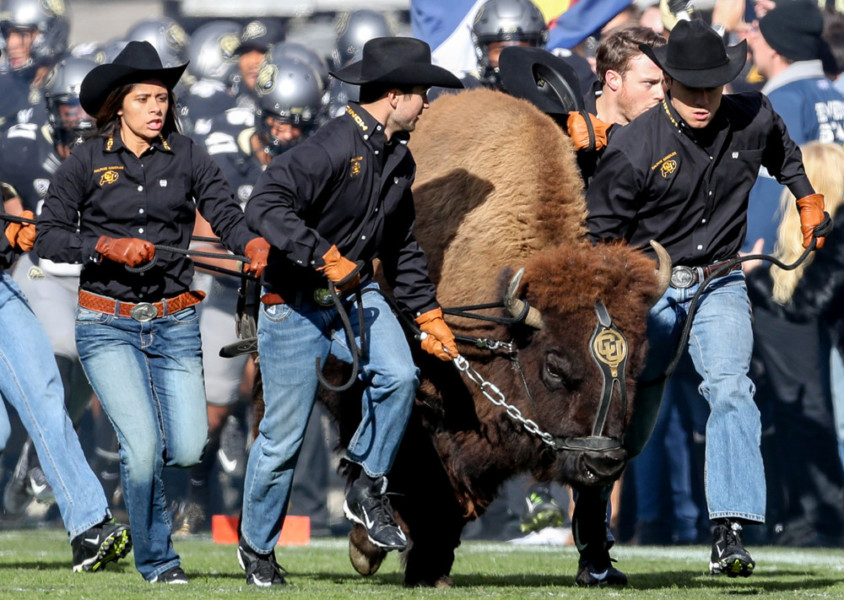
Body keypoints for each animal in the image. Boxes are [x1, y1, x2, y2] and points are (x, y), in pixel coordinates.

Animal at [260, 88, 668, 584]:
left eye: (636, 361)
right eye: (554, 366)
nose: (603, 462)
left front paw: (429, 566)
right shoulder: (426, 410)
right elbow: (412, 474)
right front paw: (379, 550)